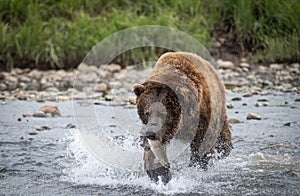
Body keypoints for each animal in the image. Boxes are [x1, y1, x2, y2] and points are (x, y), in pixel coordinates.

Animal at [134, 51, 232, 184]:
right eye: (147, 112)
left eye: (163, 113)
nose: (151, 133)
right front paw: (160, 174)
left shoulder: (202, 115)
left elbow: (202, 142)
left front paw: (197, 165)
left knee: (222, 133)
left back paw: (223, 151)